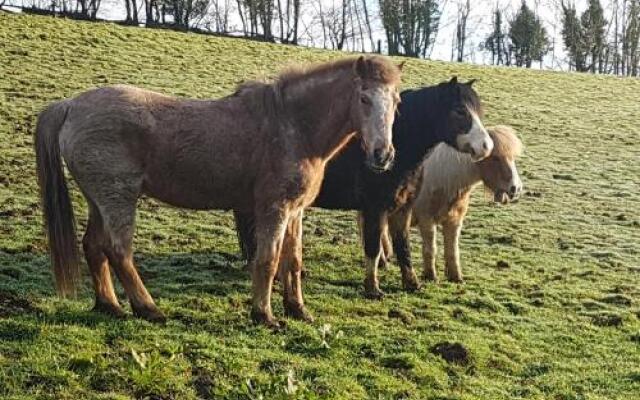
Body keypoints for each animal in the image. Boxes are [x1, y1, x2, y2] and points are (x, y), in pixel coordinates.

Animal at [36, 54, 400, 326]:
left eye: (396, 100)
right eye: (364, 98)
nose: (382, 155)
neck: (292, 125)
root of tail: (71, 105)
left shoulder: (295, 211)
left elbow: (293, 260)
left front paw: (297, 309)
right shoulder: (274, 208)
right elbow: (268, 260)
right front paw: (264, 315)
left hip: (98, 200)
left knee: (94, 247)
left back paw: (110, 306)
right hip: (118, 198)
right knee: (118, 250)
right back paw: (148, 308)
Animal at [235, 78, 490, 298]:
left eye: (478, 111)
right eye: (459, 110)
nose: (485, 146)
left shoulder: (403, 208)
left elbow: (402, 245)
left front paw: (411, 283)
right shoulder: (374, 209)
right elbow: (373, 248)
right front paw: (372, 288)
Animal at [380, 126, 520, 284]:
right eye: (495, 158)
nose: (515, 188)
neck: (446, 178)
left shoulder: (454, 221)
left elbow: (452, 250)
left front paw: (455, 277)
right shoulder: (426, 220)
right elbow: (430, 249)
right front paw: (430, 276)